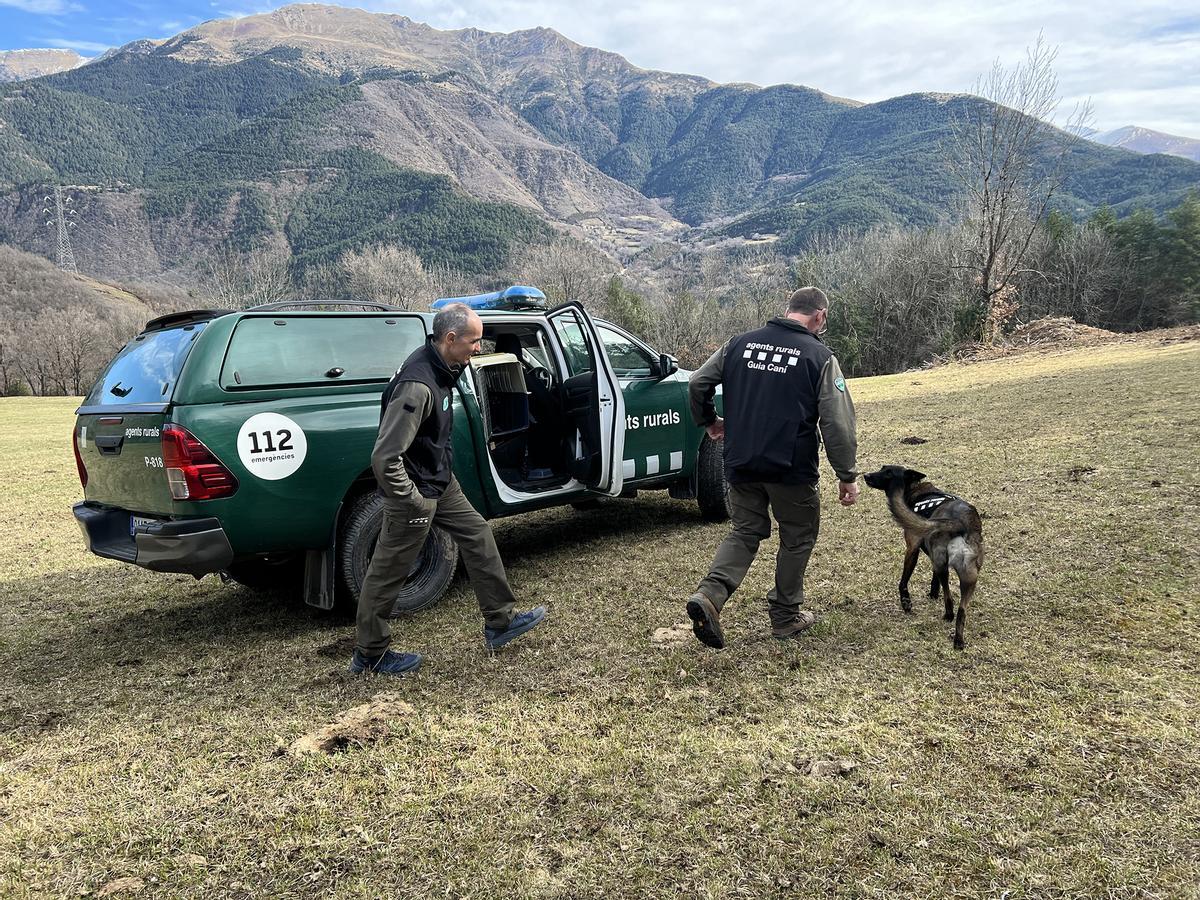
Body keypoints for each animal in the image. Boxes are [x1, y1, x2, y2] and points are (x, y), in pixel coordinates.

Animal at [864, 468, 984, 652]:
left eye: (888, 472)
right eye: (882, 468)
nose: (865, 476)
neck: (914, 488)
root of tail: (958, 522)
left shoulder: (912, 548)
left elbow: (903, 582)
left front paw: (906, 603)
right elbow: (934, 579)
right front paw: (933, 593)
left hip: (944, 565)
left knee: (949, 597)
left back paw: (948, 616)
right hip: (969, 576)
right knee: (961, 610)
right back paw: (958, 641)